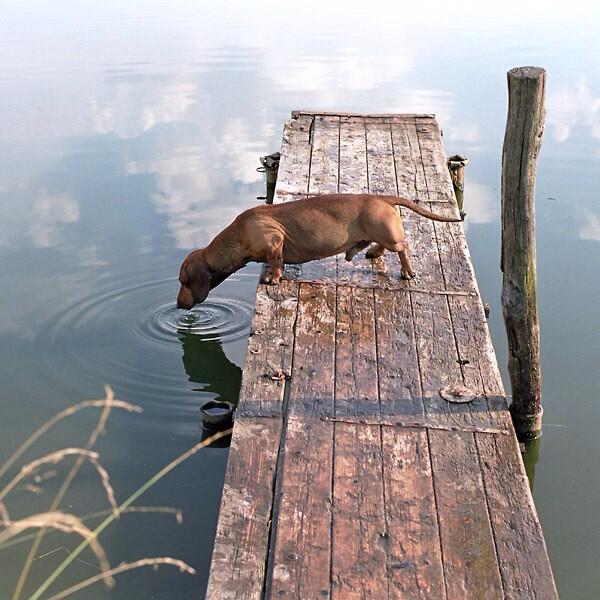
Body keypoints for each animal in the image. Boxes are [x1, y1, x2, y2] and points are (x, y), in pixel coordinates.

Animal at [177, 195, 460, 310]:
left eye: (184, 281)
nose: (178, 305)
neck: (238, 233)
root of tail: (382, 198)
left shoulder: (274, 240)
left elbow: (276, 261)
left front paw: (273, 277)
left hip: (389, 234)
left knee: (404, 247)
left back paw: (407, 270)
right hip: (380, 234)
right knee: (381, 246)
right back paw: (373, 252)